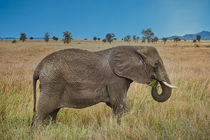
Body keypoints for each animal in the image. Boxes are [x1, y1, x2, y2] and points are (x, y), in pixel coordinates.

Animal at [31, 45, 176, 126]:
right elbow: (119, 105)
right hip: (52, 84)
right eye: (156, 64)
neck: (135, 47)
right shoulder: (116, 80)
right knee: (43, 113)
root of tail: (38, 68)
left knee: (52, 114)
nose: (155, 81)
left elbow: (116, 105)